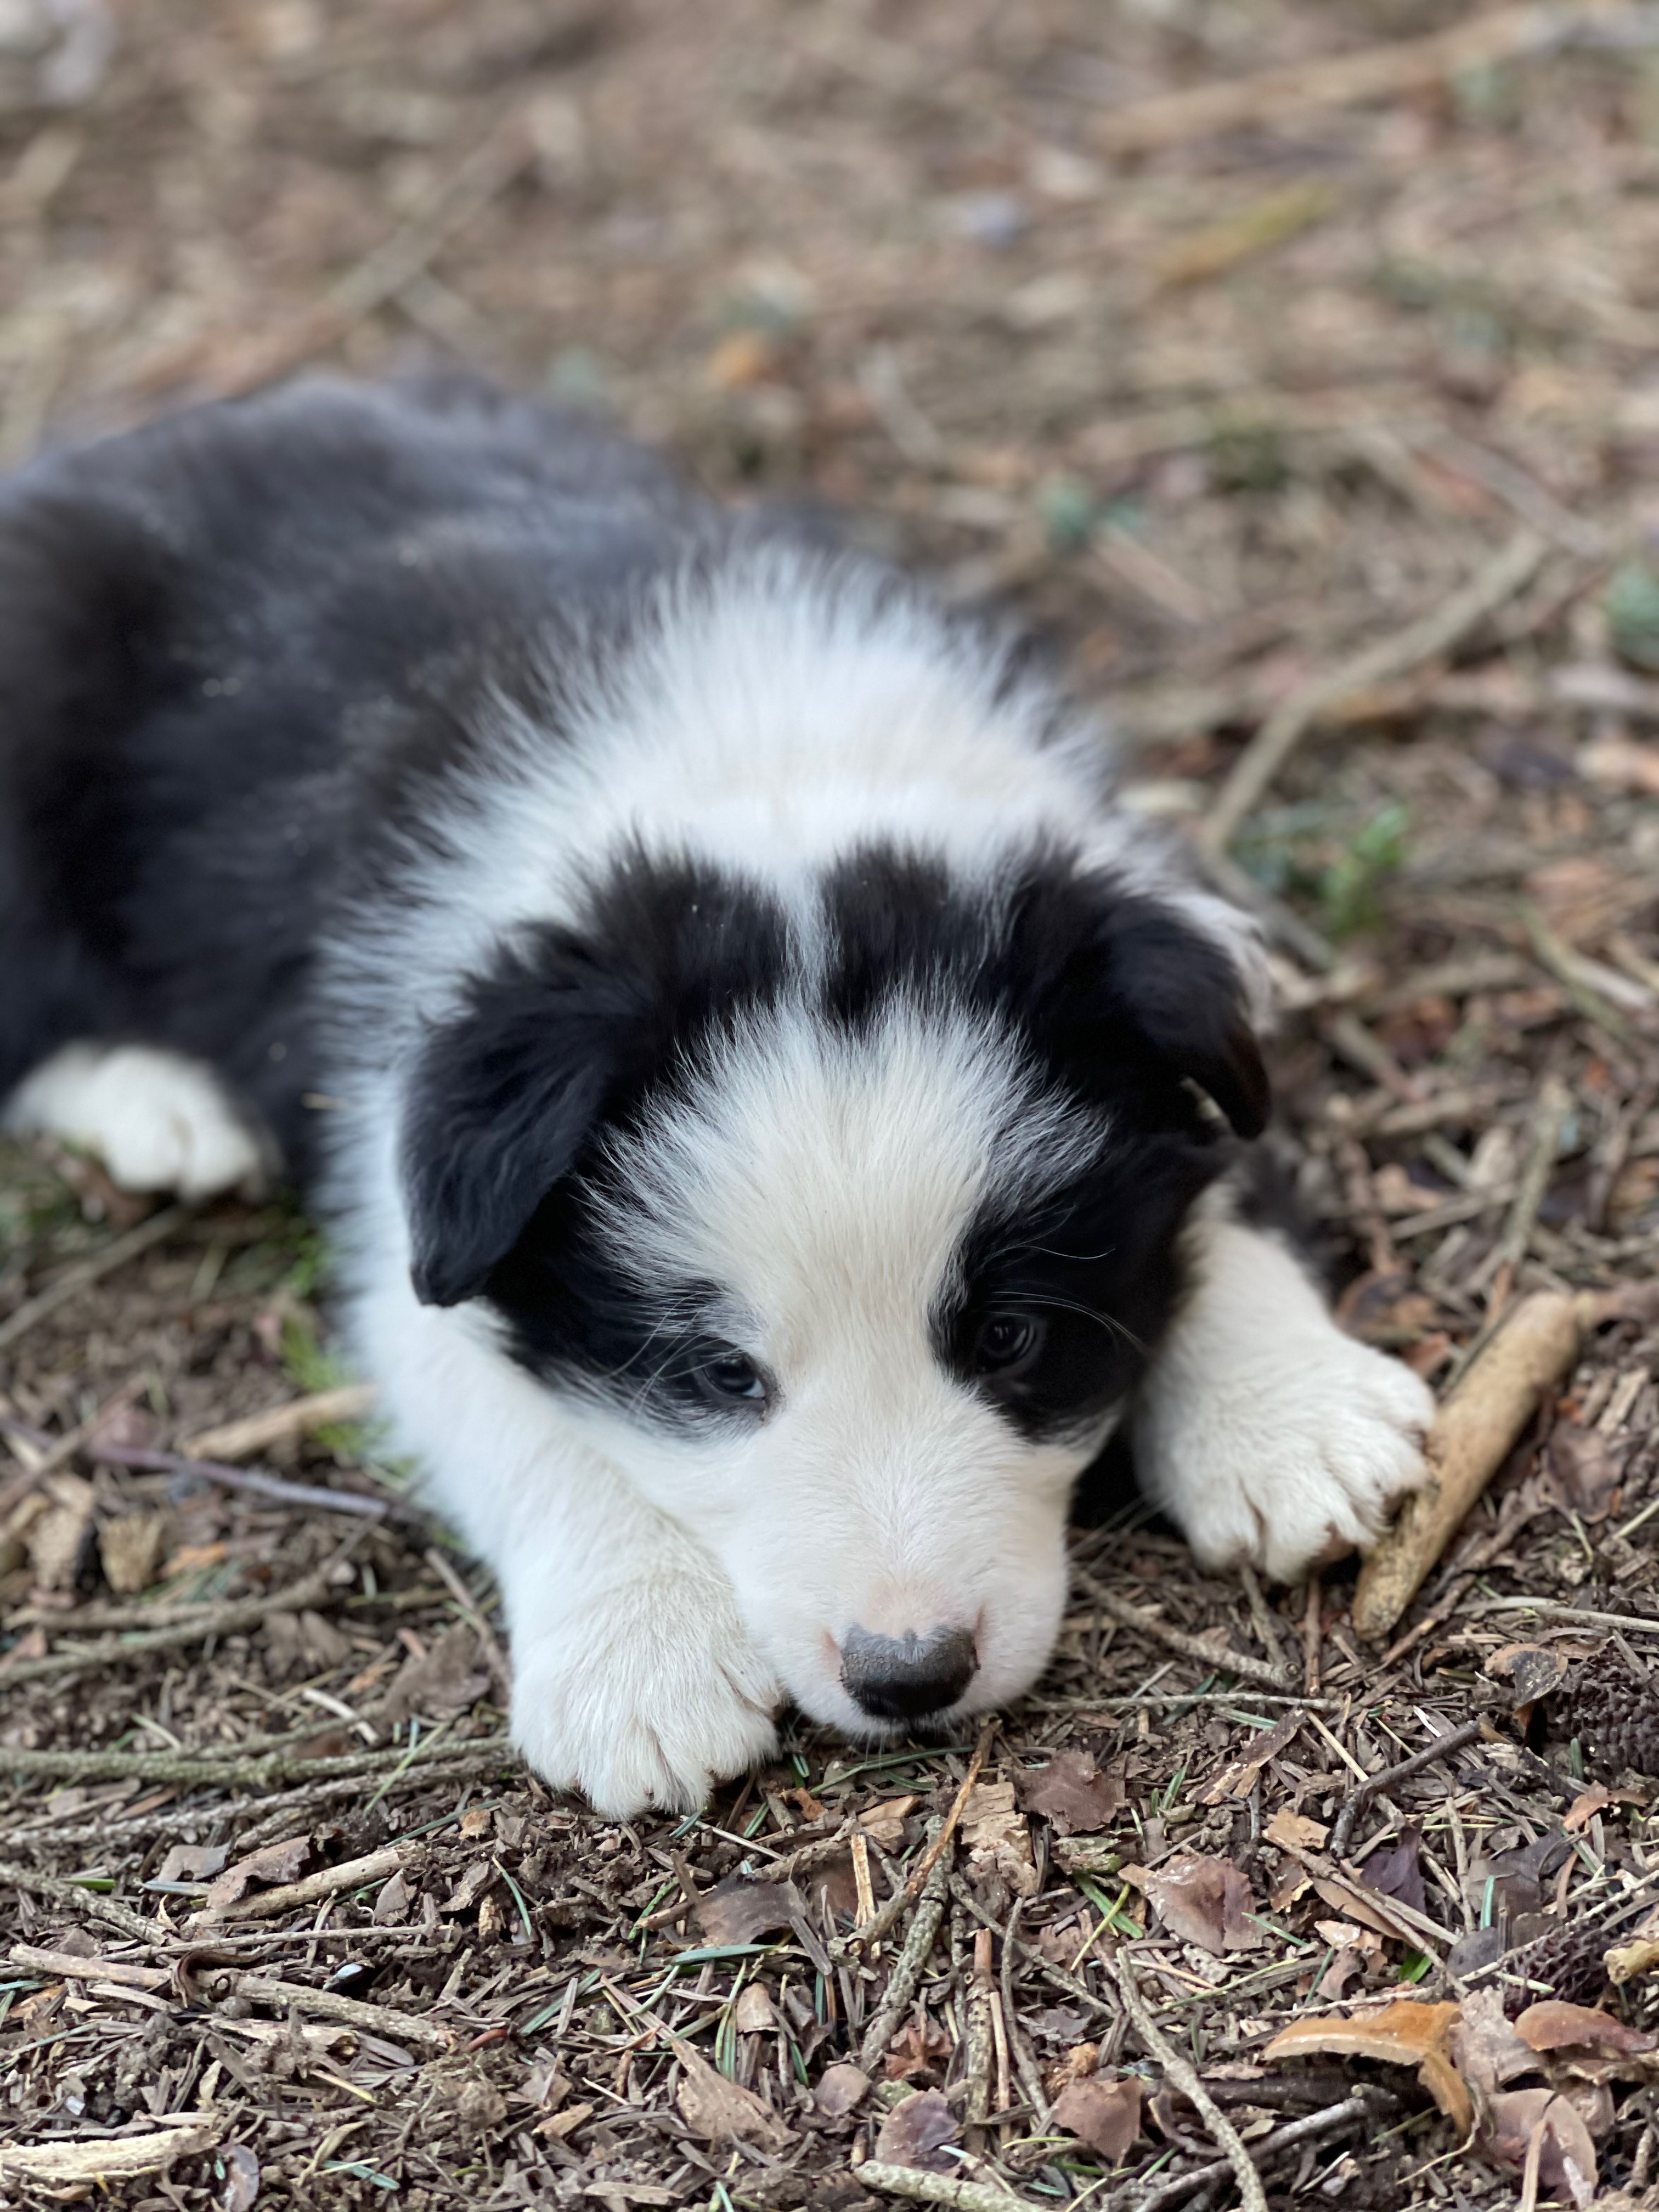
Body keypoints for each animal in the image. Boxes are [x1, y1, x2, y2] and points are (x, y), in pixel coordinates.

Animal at [0, 371, 1433, 1814]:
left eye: (1010, 1338)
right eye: (721, 1376)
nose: (909, 1673)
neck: (765, 776)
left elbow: (1218, 1190)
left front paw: (1289, 1417)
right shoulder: (417, 1201)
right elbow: (518, 1415)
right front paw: (644, 1664)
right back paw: (159, 1106)